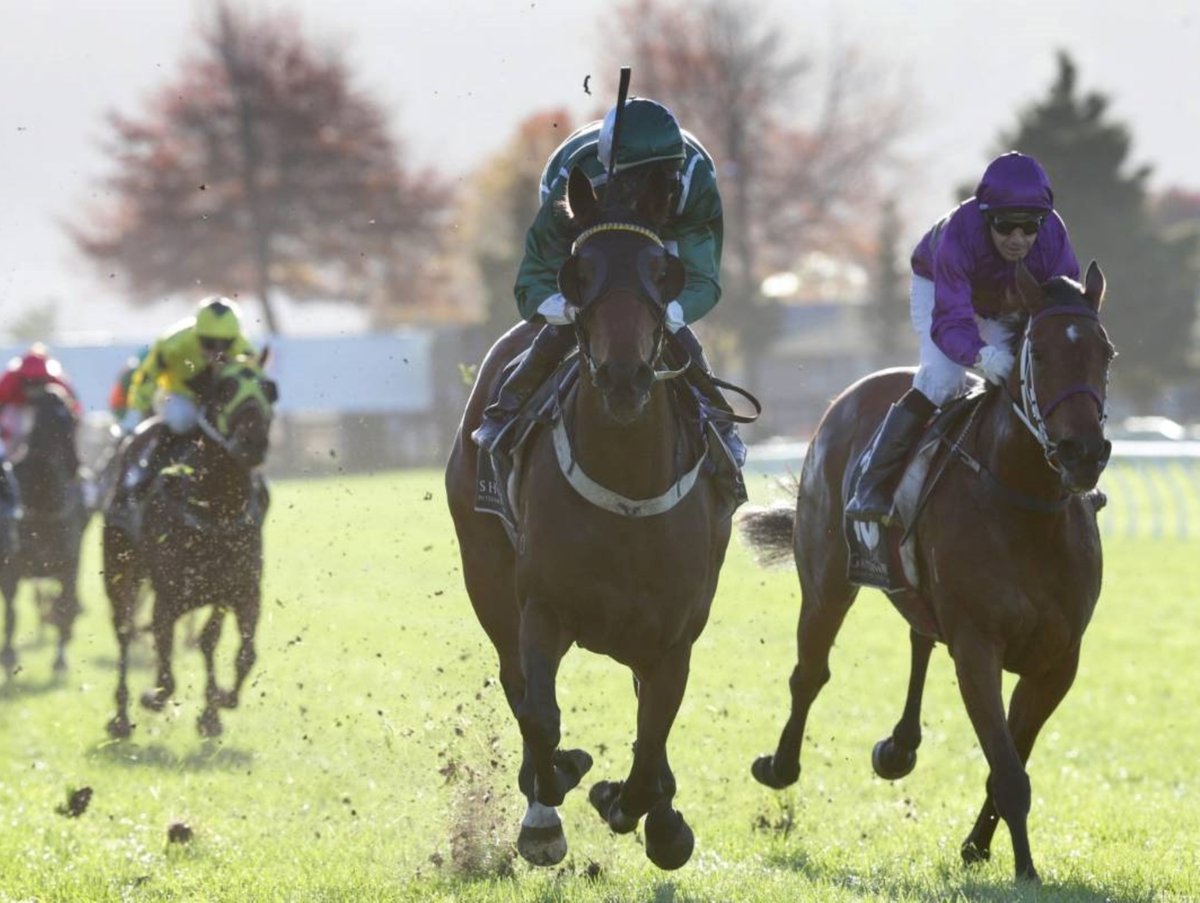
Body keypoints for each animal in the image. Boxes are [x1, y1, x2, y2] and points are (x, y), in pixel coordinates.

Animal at [0, 381, 88, 677]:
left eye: (69, 417)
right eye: (39, 418)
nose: (73, 464)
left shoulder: (69, 562)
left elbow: (64, 606)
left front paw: (60, 659)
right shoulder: (11, 564)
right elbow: (12, 610)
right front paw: (8, 655)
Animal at [448, 164, 734, 869]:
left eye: (661, 270)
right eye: (579, 270)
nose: (624, 376)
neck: (626, 482)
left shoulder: (674, 633)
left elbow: (653, 732)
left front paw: (648, 814)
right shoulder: (541, 608)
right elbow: (540, 714)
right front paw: (553, 799)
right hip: (486, 572)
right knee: (517, 684)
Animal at [739, 262, 1113, 883]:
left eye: (1105, 352)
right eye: (1039, 354)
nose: (1083, 452)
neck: (1028, 503)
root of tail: (844, 400)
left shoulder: (1059, 659)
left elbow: (1010, 756)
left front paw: (978, 846)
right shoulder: (978, 646)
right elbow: (1009, 770)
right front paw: (1025, 870)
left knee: (919, 635)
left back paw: (898, 747)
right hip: (825, 579)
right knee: (809, 672)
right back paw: (781, 765)